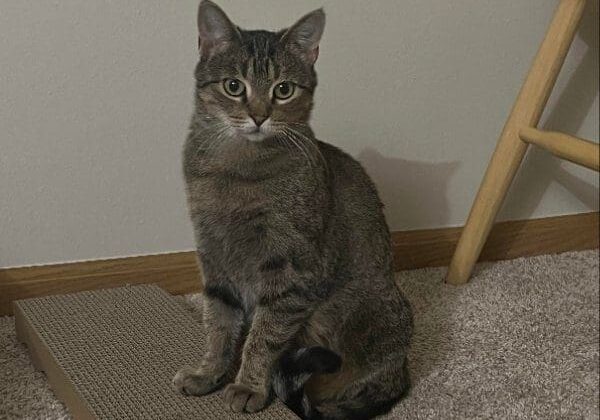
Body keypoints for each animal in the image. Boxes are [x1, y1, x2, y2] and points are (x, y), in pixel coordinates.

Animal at [171, 1, 410, 418]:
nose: (259, 115)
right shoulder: (214, 258)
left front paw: (248, 385)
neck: (237, 171)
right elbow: (218, 326)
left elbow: (264, 338)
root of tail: (404, 372)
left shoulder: (291, 272)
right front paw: (208, 374)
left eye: (283, 90)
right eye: (234, 86)